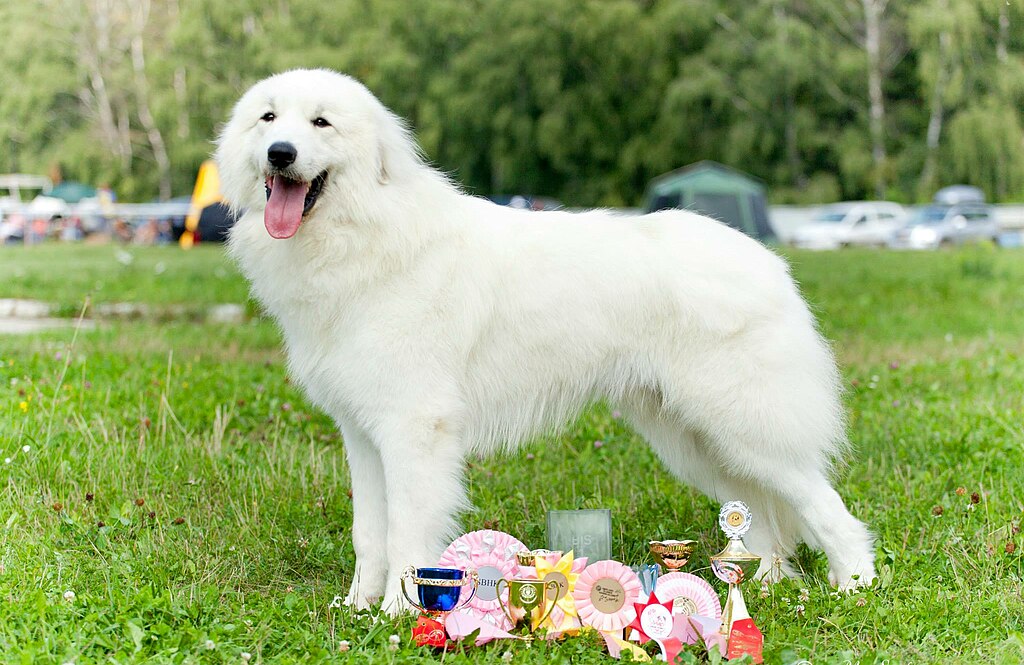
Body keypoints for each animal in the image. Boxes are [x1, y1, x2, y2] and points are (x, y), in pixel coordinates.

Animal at [216, 67, 872, 610]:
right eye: (268, 118)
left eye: (320, 122)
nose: (280, 154)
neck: (365, 231)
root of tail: (770, 262)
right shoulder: (363, 432)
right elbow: (369, 532)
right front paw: (357, 609)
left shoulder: (413, 428)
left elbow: (406, 528)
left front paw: (399, 614)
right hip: (695, 438)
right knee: (764, 513)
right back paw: (768, 583)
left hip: (741, 420)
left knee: (822, 502)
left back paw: (855, 583)